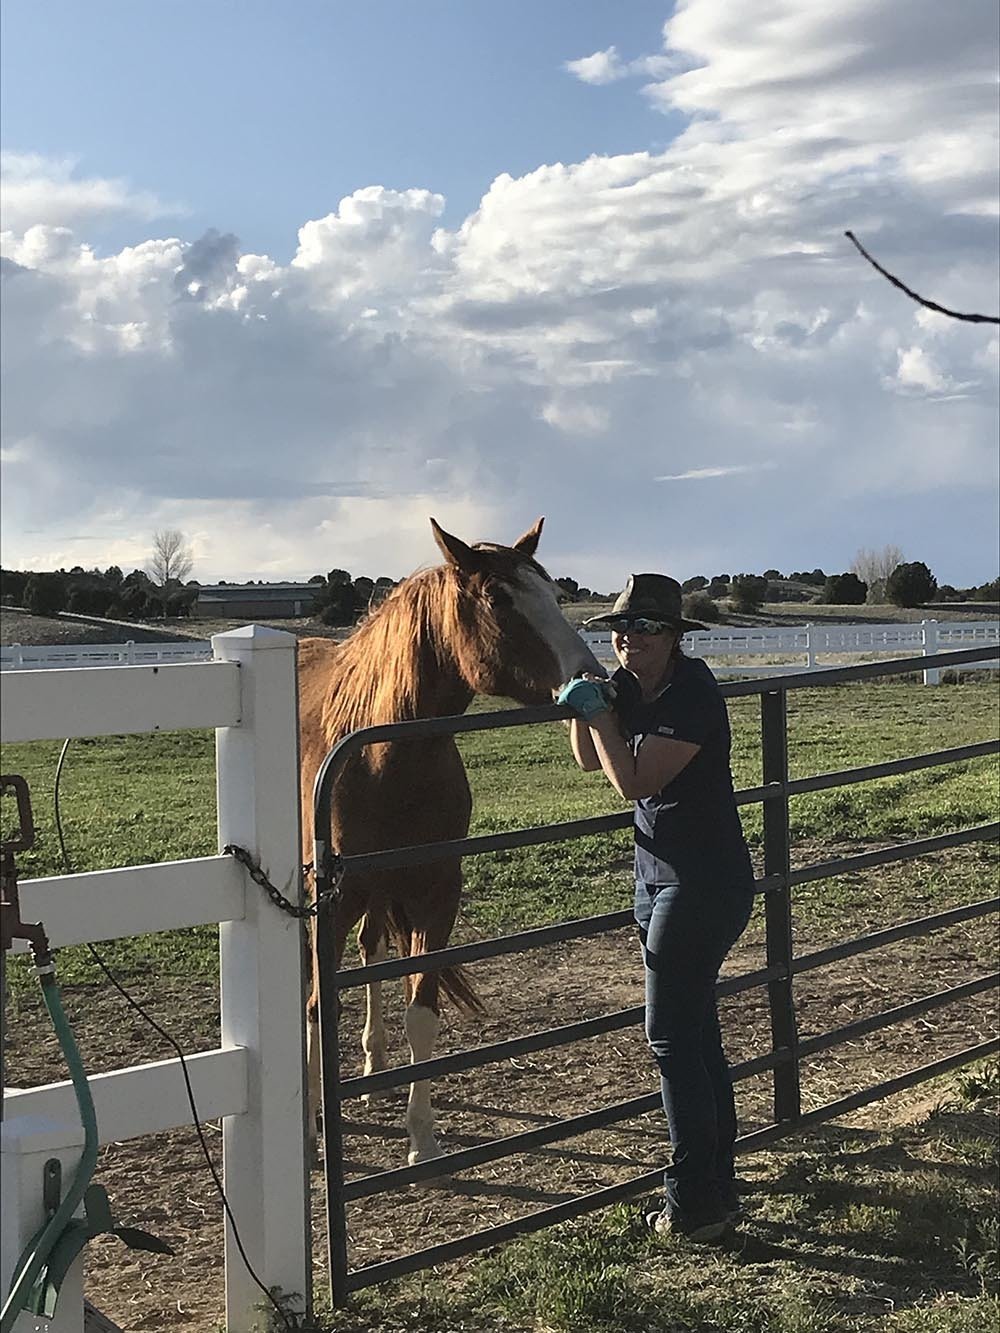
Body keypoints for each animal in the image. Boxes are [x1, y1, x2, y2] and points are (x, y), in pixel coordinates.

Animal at [297, 516, 604, 1165]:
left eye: (553, 595)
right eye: (498, 599)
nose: (595, 681)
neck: (385, 758)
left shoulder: (435, 893)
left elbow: (422, 1011)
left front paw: (423, 1138)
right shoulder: (330, 901)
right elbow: (317, 1005)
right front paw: (310, 1130)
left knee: (372, 950)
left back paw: (375, 1066)